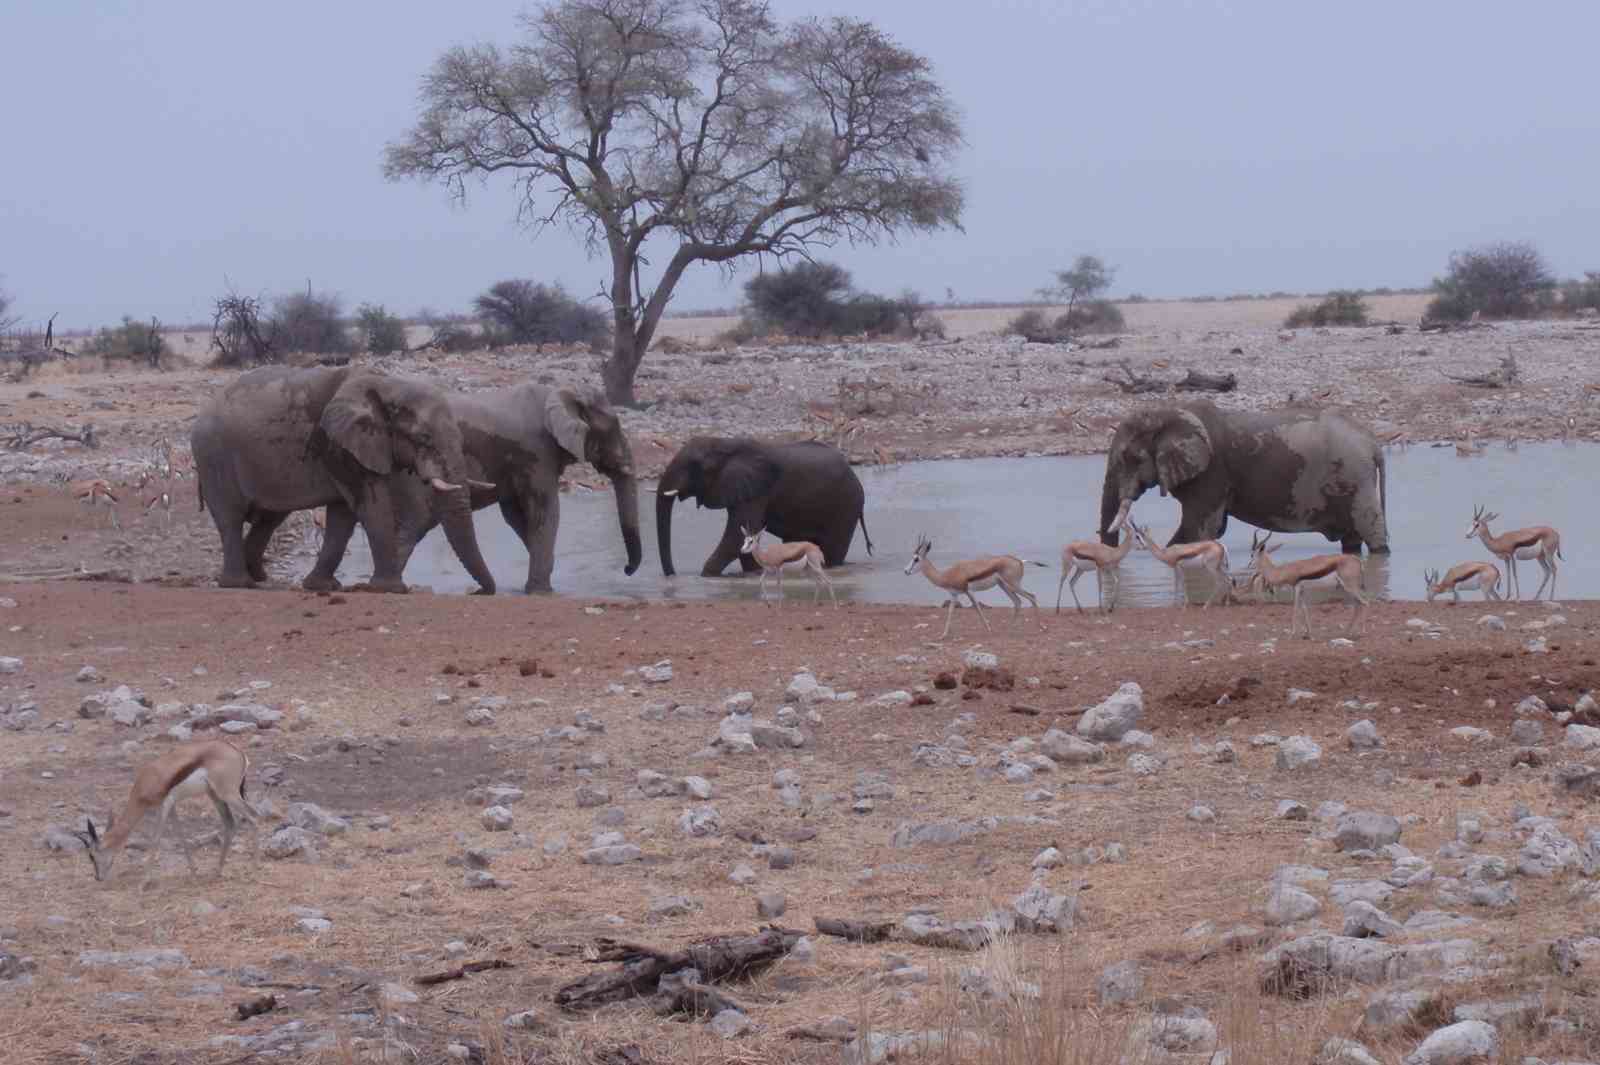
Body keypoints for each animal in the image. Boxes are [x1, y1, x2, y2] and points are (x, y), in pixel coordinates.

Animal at [188, 361, 489, 585]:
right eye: (424, 439)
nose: (486, 591)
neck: (389, 385)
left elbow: (343, 516)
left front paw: (322, 586)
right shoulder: (338, 444)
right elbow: (370, 507)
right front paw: (390, 588)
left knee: (270, 518)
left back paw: (260, 578)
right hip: (214, 455)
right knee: (231, 516)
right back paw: (240, 583)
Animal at [305, 383, 636, 598]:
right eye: (615, 429)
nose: (627, 570)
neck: (562, 390)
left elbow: (518, 516)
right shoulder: (537, 453)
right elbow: (545, 510)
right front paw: (542, 592)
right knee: (414, 523)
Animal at [652, 434, 870, 575]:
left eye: (696, 465)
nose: (672, 575)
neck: (726, 444)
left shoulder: (757, 490)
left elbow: (735, 537)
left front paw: (706, 575)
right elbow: (744, 534)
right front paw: (754, 572)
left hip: (846, 505)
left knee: (834, 549)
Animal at [1100, 393, 1388, 550]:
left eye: (1131, 458)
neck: (1168, 411)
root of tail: (1373, 443)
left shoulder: (1212, 471)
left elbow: (1200, 529)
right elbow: (1207, 530)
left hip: (1355, 474)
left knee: (1372, 533)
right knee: (1352, 539)